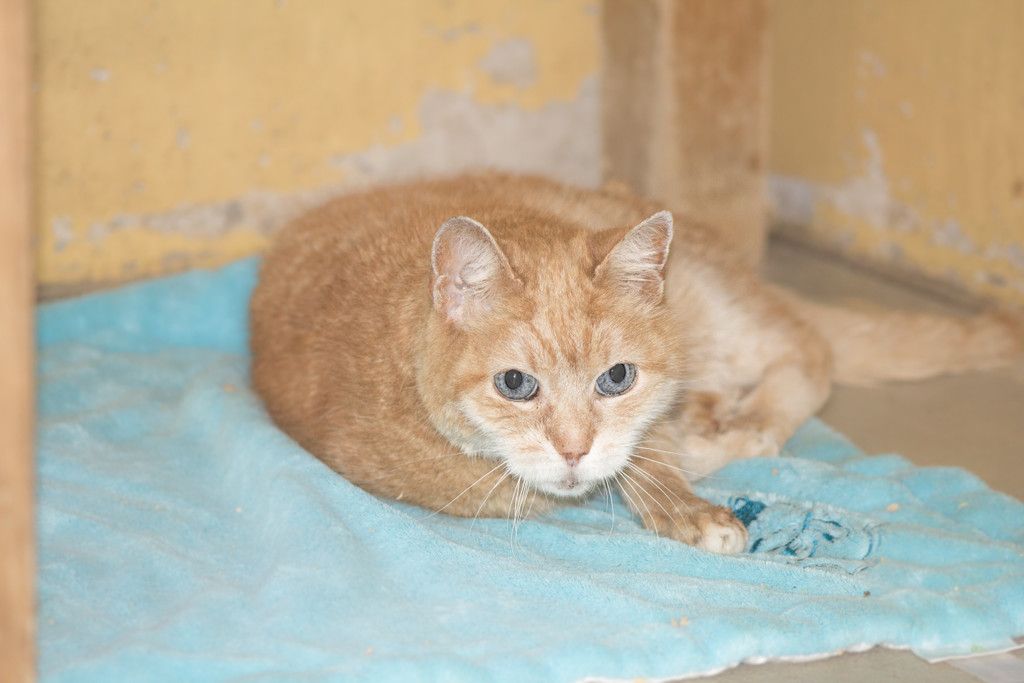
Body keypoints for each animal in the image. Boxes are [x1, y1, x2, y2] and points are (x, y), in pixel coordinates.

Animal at [250, 172, 1023, 554]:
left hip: (730, 318)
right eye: (515, 384)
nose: (572, 449)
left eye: (615, 378)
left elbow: (645, 448)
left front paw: (681, 490)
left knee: (809, 354)